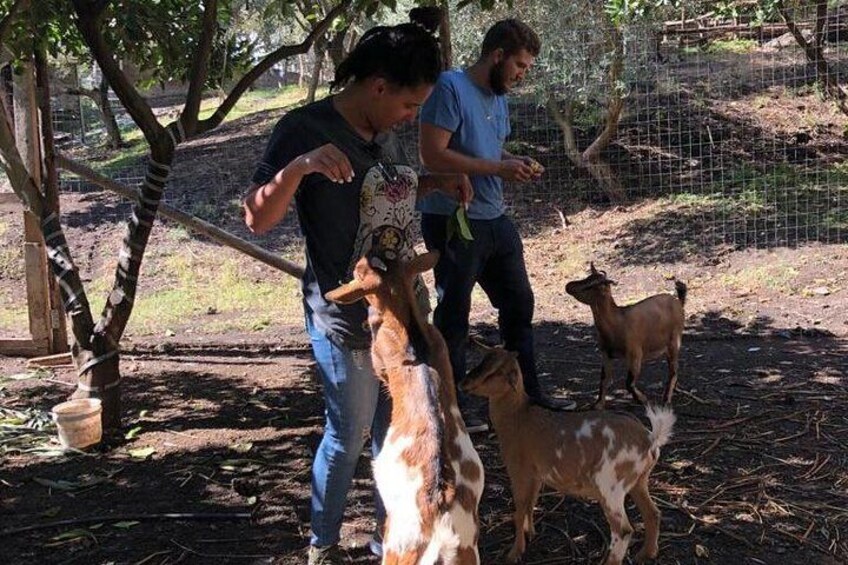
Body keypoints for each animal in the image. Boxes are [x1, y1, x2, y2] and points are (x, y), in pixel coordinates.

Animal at [324, 251, 484, 564]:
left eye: (359, 272)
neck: (412, 332)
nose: (363, 256)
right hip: (470, 552)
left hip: (396, 546)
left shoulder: (381, 352)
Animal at [460, 348, 672, 564]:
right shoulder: (536, 474)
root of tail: (651, 439)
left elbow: (518, 511)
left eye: (493, 372)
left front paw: (514, 553)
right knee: (653, 513)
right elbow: (530, 503)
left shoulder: (519, 470)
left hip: (611, 485)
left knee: (623, 530)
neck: (518, 417)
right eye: (483, 359)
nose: (463, 383)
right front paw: (530, 533)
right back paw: (646, 554)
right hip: (639, 480)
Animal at [568, 262, 684, 408]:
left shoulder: (635, 354)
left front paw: (642, 399)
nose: (568, 286)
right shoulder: (606, 354)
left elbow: (628, 382)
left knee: (673, 371)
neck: (617, 323)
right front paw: (598, 404)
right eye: (587, 278)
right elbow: (604, 379)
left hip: (674, 341)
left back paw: (666, 399)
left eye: (590, 286)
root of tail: (679, 302)